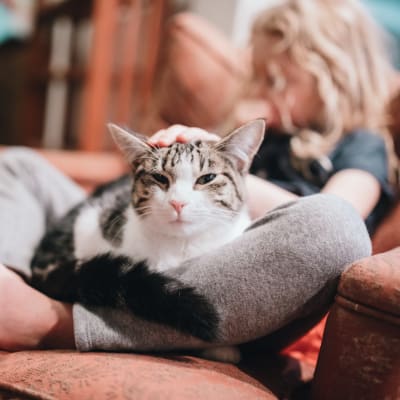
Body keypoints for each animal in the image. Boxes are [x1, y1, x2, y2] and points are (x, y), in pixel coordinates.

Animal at [30, 118, 266, 362]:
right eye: (159, 177)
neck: (181, 246)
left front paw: (225, 349)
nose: (178, 203)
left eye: (207, 178)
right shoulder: (91, 224)